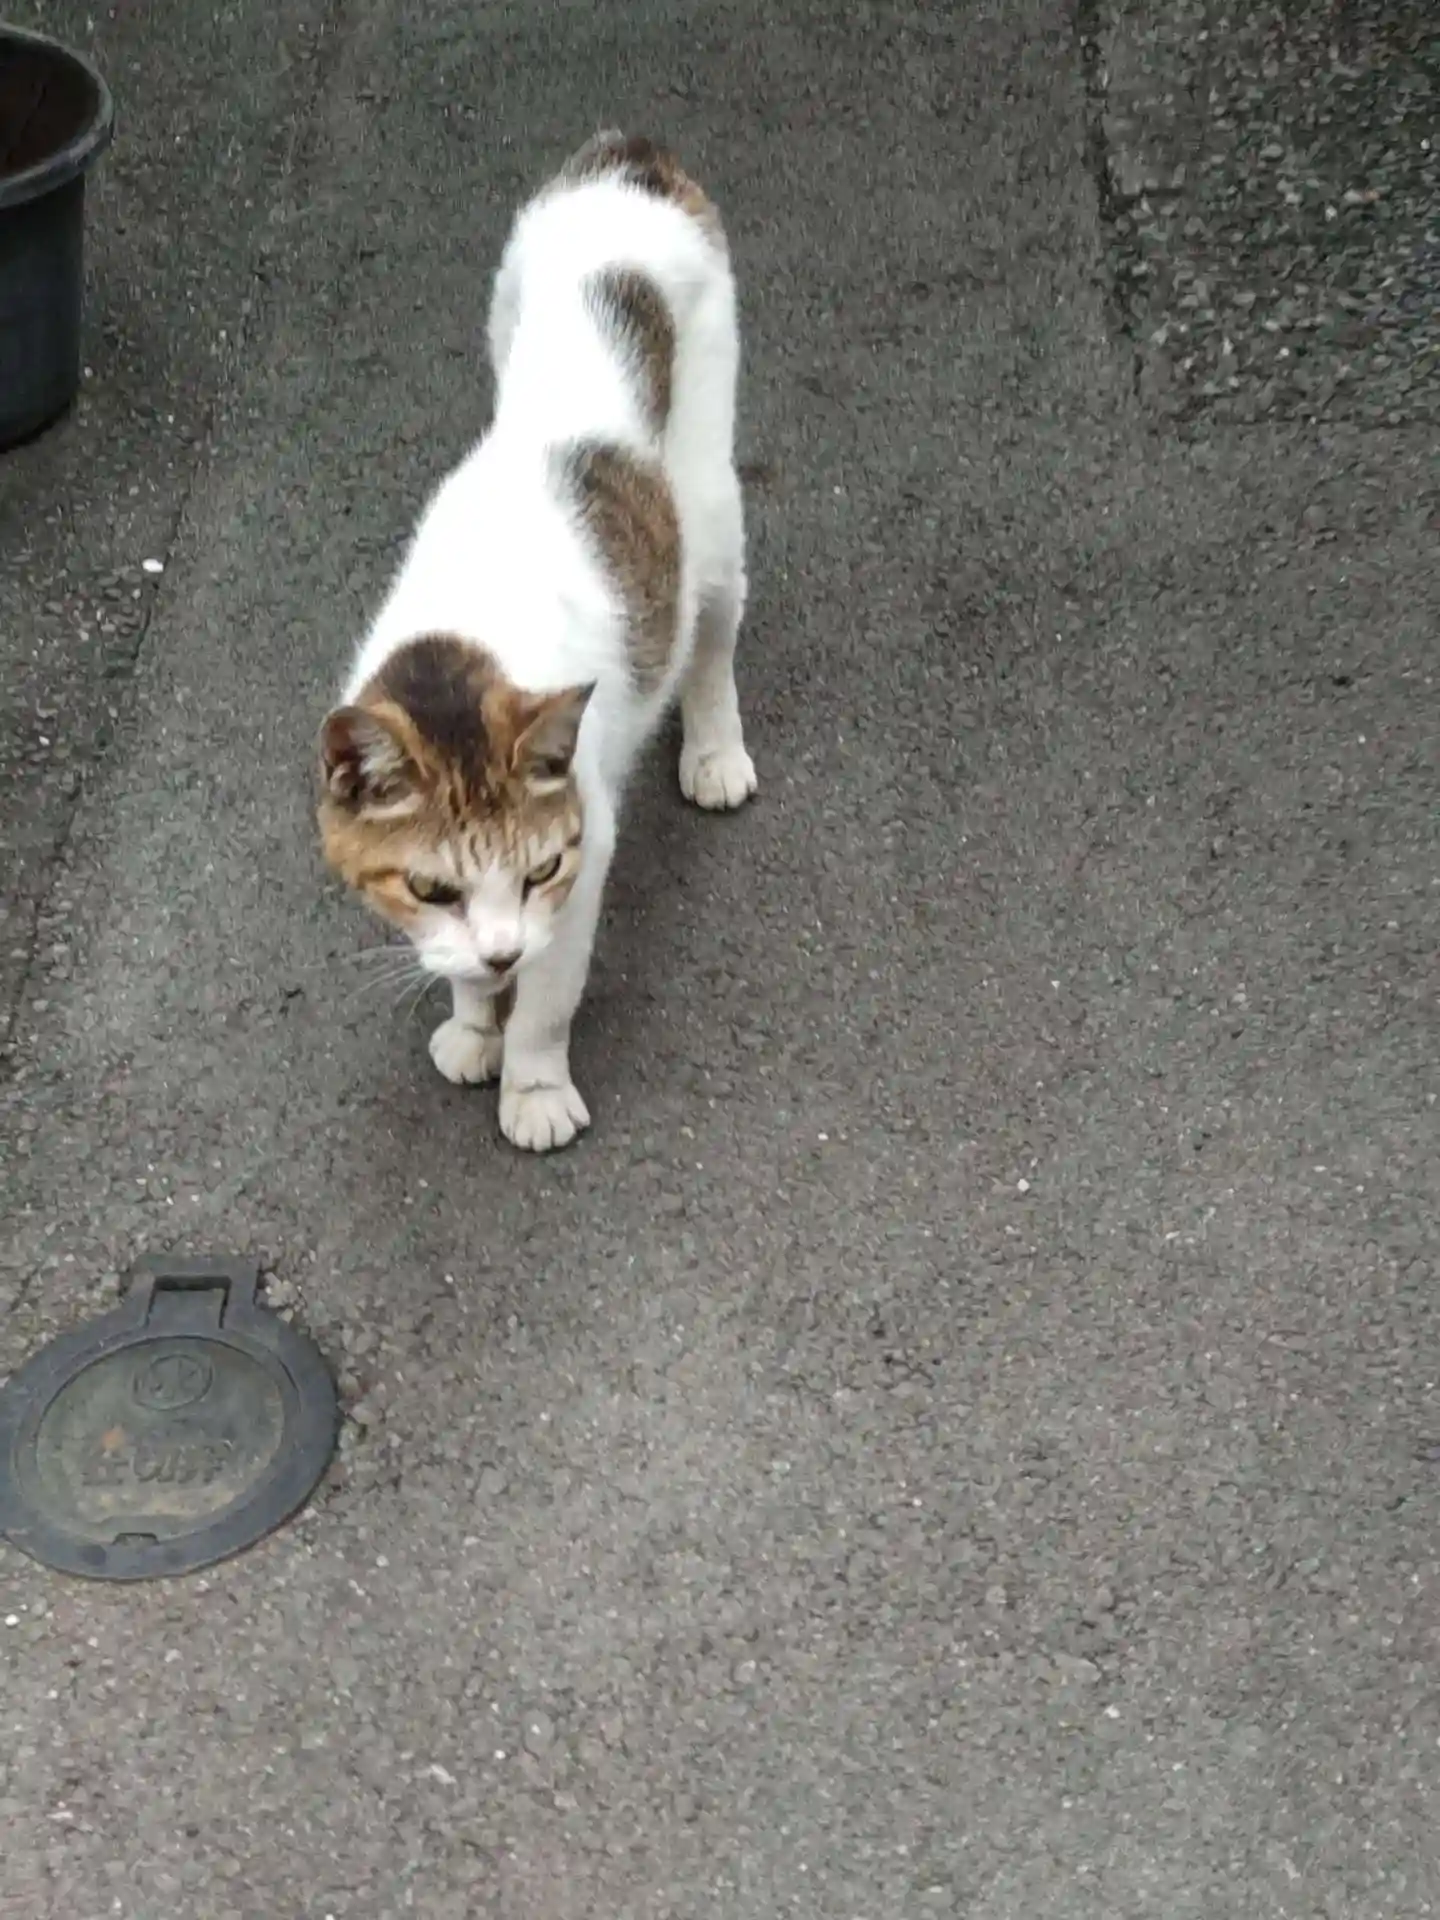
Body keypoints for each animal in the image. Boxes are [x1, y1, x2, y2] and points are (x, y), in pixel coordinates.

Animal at [317, 131, 757, 1153]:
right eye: (430, 889)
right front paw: (474, 1020)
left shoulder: (582, 855)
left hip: (710, 503)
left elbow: (552, 993)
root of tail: (629, 157)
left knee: (711, 632)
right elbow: (461, 969)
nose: (502, 949)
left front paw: (532, 1086)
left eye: (540, 868)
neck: (461, 648)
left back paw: (715, 751)